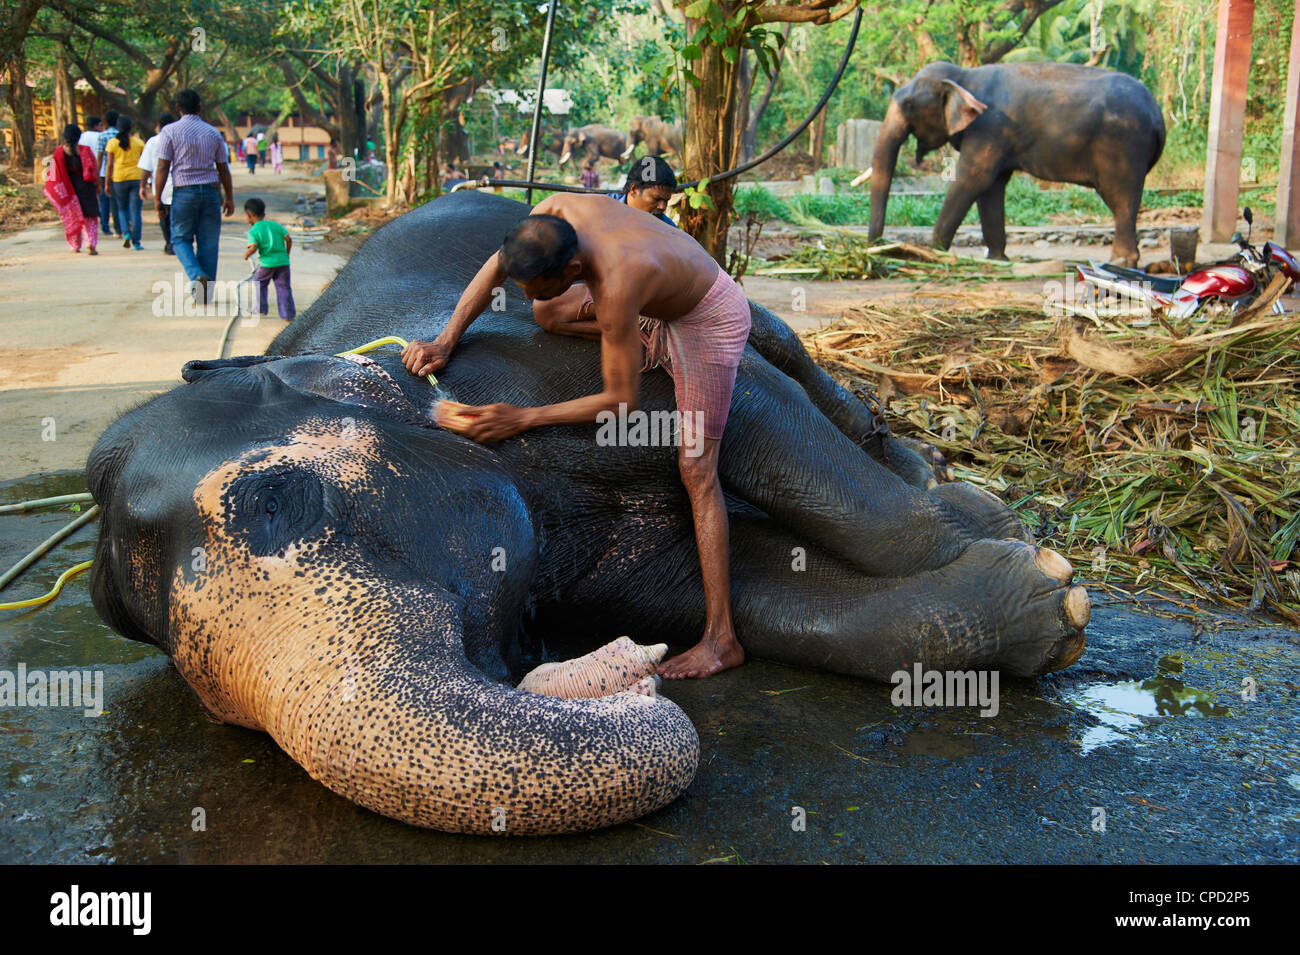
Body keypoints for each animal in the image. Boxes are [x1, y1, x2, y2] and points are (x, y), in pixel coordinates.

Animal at [868, 62, 1164, 265]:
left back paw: (1120, 262)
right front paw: (998, 260)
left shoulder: (989, 128)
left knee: (1121, 199)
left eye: (909, 104)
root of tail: (1157, 113)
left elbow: (973, 179)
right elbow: (992, 186)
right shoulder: (996, 137)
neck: (964, 77)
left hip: (1122, 146)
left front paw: (930, 253)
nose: (875, 247)